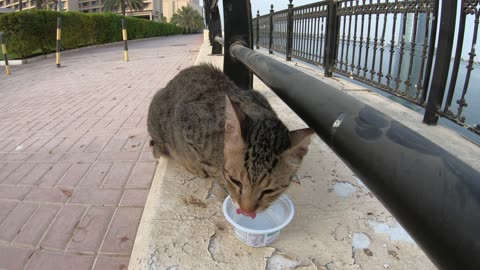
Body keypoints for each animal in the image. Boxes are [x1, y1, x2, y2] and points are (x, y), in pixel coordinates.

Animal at [148, 63, 314, 215]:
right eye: (236, 182)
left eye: (269, 191)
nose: (247, 211)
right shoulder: (188, 126)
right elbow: (215, 172)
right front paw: (226, 190)